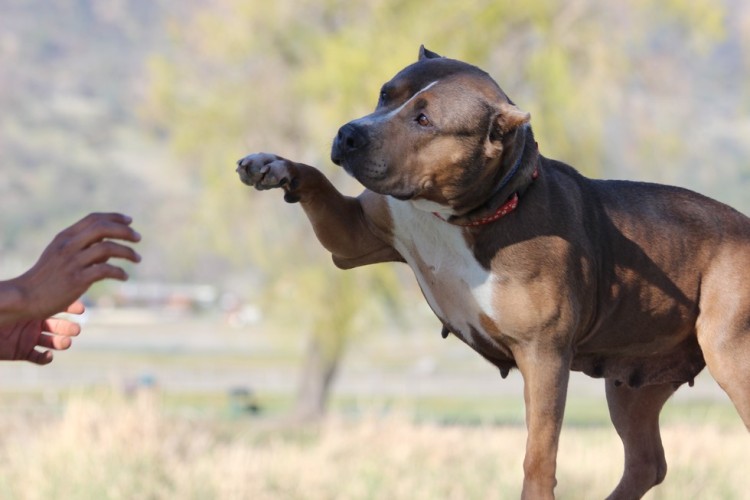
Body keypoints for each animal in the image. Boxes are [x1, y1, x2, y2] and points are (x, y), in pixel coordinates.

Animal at [239, 46, 750, 496]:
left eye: (424, 119)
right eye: (385, 94)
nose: (348, 133)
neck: (462, 214)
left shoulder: (544, 357)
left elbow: (539, 458)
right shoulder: (355, 236)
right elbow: (317, 182)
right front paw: (273, 165)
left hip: (731, 358)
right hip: (633, 383)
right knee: (646, 463)